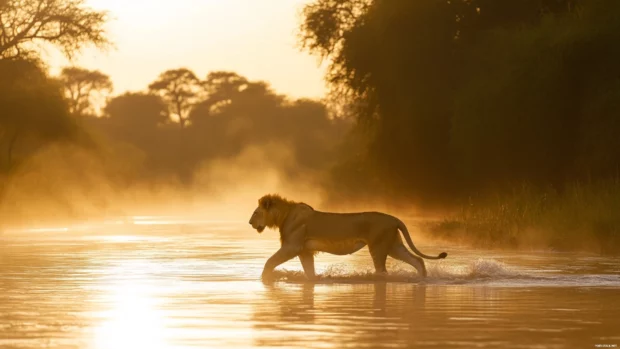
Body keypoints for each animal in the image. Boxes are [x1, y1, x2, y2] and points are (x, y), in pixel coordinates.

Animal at [249, 193, 448, 280]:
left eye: (256, 212)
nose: (250, 223)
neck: (283, 215)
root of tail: (394, 218)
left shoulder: (293, 246)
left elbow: (270, 261)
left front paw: (264, 278)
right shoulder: (305, 250)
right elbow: (309, 271)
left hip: (378, 247)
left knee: (383, 270)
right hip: (394, 246)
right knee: (417, 261)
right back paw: (422, 279)